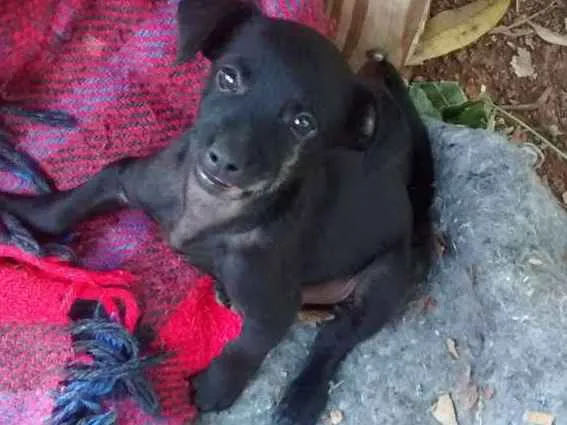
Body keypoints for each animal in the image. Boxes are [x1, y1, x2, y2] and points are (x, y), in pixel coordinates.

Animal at [0, 1, 434, 422]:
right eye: (228, 78)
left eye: (302, 124)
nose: (225, 160)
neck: (208, 209)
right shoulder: (123, 178)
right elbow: (65, 207)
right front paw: (18, 213)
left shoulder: (273, 309)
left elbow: (248, 345)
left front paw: (217, 387)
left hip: (381, 284)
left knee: (335, 339)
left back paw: (303, 396)